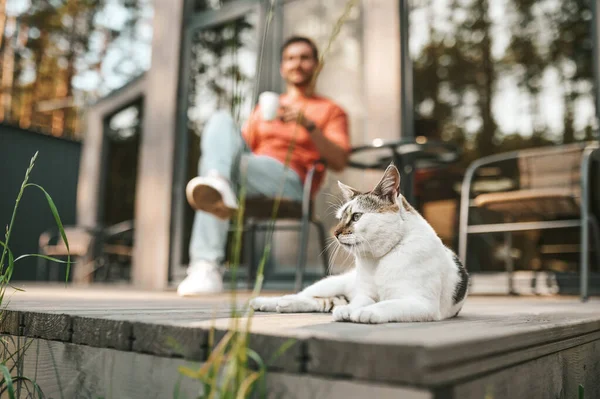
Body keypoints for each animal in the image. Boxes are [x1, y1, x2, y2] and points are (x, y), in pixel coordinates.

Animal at [248, 164, 468, 324]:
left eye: (356, 217)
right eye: (340, 218)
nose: (335, 233)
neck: (381, 259)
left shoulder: (421, 303)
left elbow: (387, 304)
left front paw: (365, 312)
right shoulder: (364, 293)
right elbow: (361, 302)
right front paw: (351, 310)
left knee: (323, 302)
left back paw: (286, 303)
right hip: (331, 283)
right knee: (308, 295)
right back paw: (269, 301)